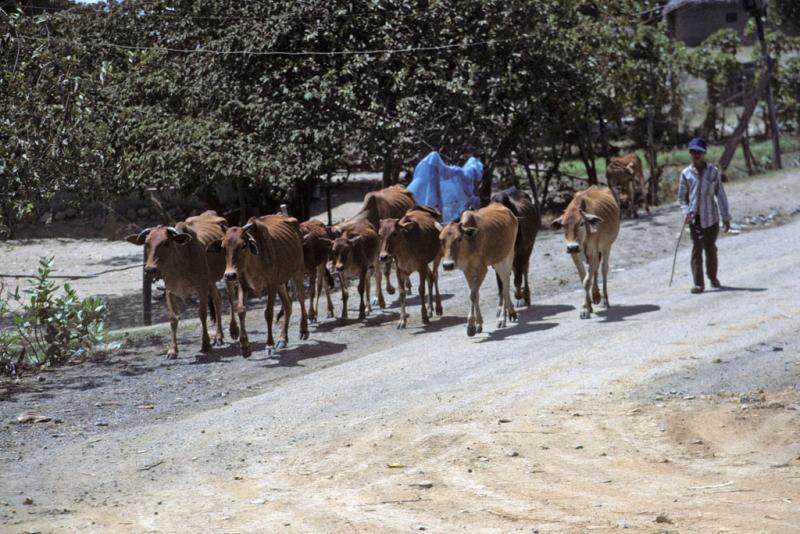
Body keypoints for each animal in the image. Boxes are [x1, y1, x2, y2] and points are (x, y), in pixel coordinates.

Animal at [125, 213, 227, 360]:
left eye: (166, 242)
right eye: (147, 243)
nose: (150, 269)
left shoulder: (201, 288)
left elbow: (202, 314)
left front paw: (205, 344)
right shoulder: (170, 291)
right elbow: (173, 318)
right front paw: (172, 350)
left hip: (213, 280)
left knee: (217, 301)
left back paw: (219, 336)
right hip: (210, 282)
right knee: (217, 298)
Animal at [209, 216, 310, 358]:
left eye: (243, 245)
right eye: (223, 247)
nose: (229, 275)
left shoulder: (271, 285)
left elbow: (268, 313)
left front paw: (269, 345)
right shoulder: (243, 285)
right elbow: (241, 310)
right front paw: (245, 347)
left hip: (298, 271)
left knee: (300, 297)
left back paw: (303, 330)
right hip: (280, 283)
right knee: (288, 304)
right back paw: (282, 339)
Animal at [438, 203, 520, 338]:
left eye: (459, 239)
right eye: (441, 239)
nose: (448, 265)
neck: (469, 244)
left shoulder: (482, 269)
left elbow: (473, 294)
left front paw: (471, 325)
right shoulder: (467, 270)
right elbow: (474, 294)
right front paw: (478, 324)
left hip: (508, 255)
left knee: (505, 284)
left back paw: (504, 318)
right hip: (497, 260)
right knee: (504, 283)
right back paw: (510, 313)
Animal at [552, 186, 620, 320]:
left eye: (582, 223)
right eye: (563, 225)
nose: (572, 247)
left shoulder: (593, 254)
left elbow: (586, 281)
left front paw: (584, 308)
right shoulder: (575, 256)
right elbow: (583, 278)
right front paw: (588, 306)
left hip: (606, 247)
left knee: (603, 269)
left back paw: (604, 300)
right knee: (596, 270)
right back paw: (596, 295)